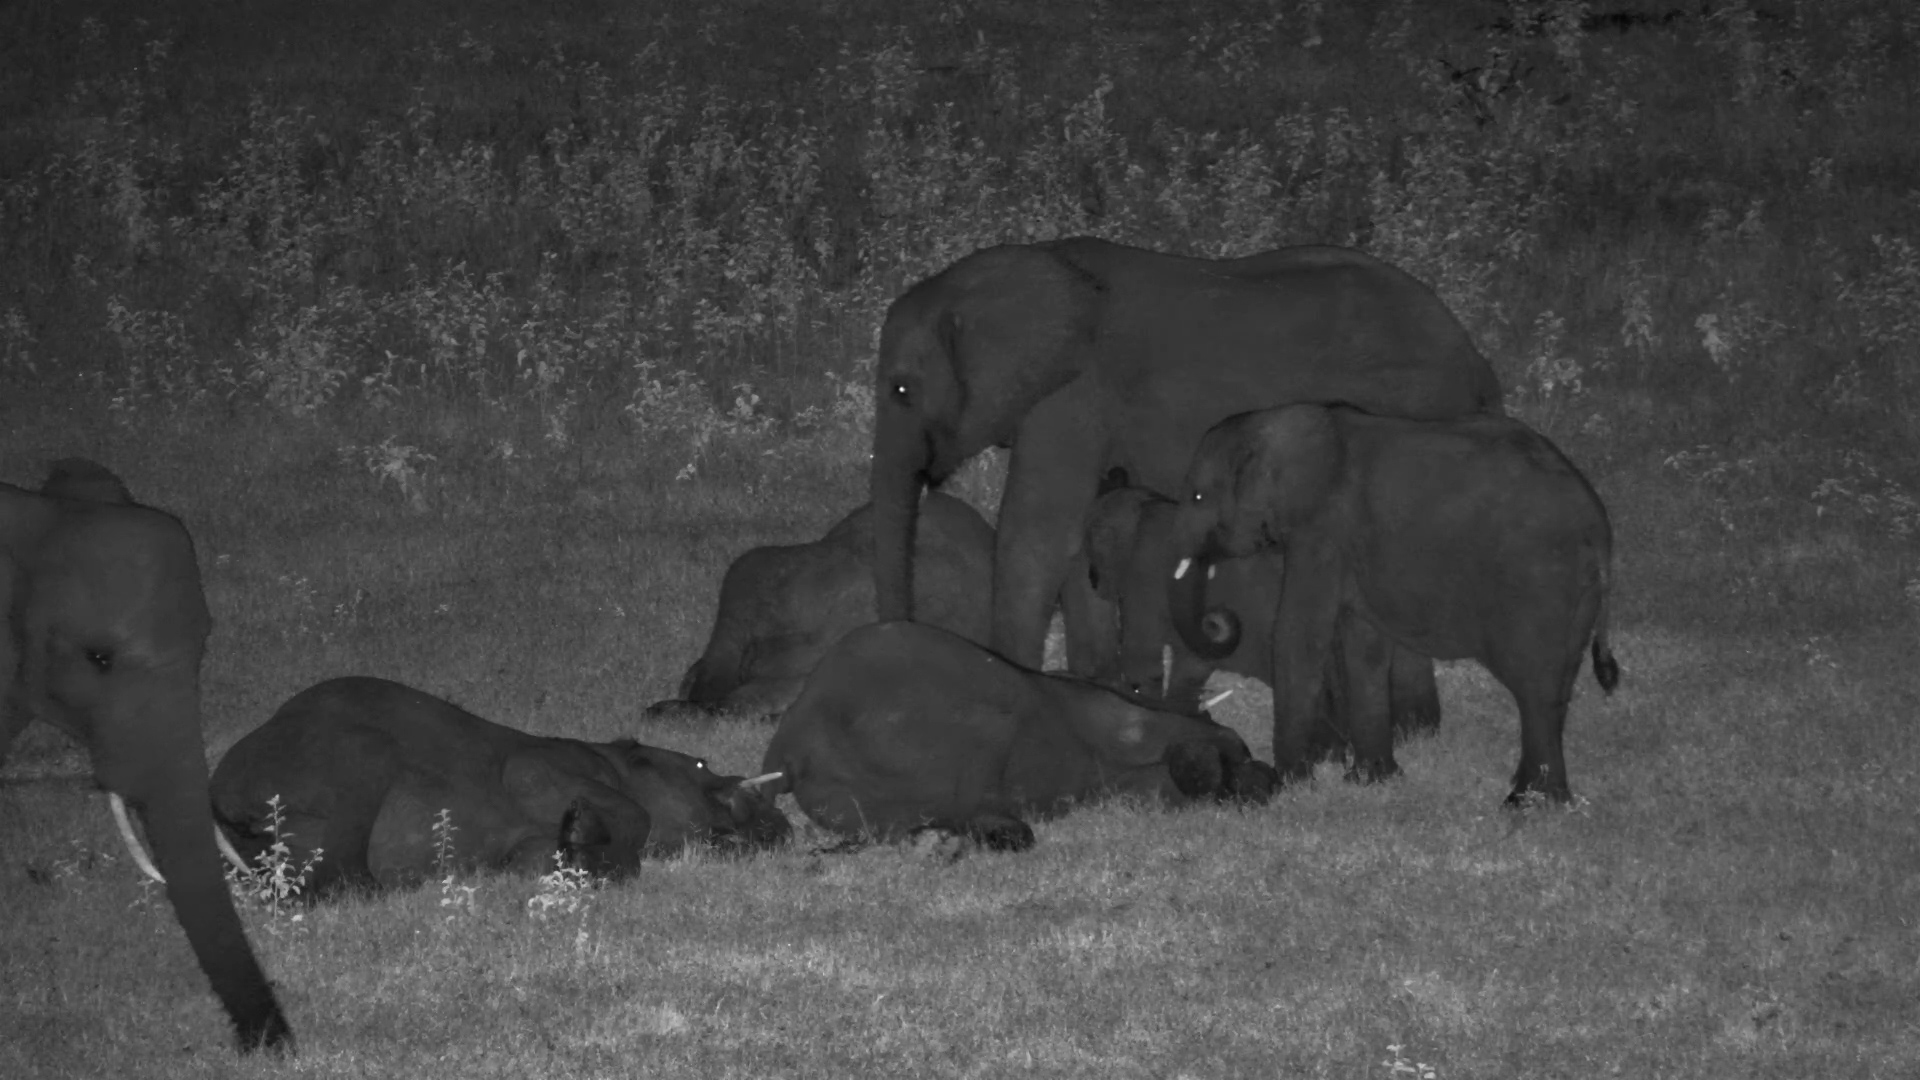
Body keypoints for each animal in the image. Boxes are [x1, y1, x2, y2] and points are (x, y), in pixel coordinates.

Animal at [210, 677, 791, 893]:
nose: (781, 820)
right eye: (701, 764)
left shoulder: (525, 847)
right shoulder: (536, 768)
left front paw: (583, 858)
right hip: (360, 759)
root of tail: (223, 795)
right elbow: (635, 814)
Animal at [1064, 479, 1441, 758]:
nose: (1094, 580)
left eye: (1093, 545)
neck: (1144, 507)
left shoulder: (1143, 580)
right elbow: (1190, 665)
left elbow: (1143, 657)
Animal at [1165, 404, 1618, 804]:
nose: (1215, 619)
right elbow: (1364, 644)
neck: (1279, 421)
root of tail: (1598, 528)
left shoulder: (1321, 533)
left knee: (1534, 686)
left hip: (1538, 584)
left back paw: (1530, 803)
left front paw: (1293, 785)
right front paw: (1371, 781)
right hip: (1576, 594)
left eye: (1199, 496)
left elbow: (1300, 636)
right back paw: (1531, 793)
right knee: (1558, 683)